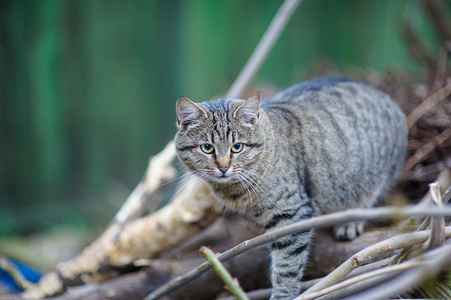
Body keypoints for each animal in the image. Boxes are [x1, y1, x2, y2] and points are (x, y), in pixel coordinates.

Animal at [175, 77, 408, 300]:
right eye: (207, 148)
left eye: (237, 147)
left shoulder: (292, 214)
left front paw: (282, 295)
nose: (223, 167)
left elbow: (286, 266)